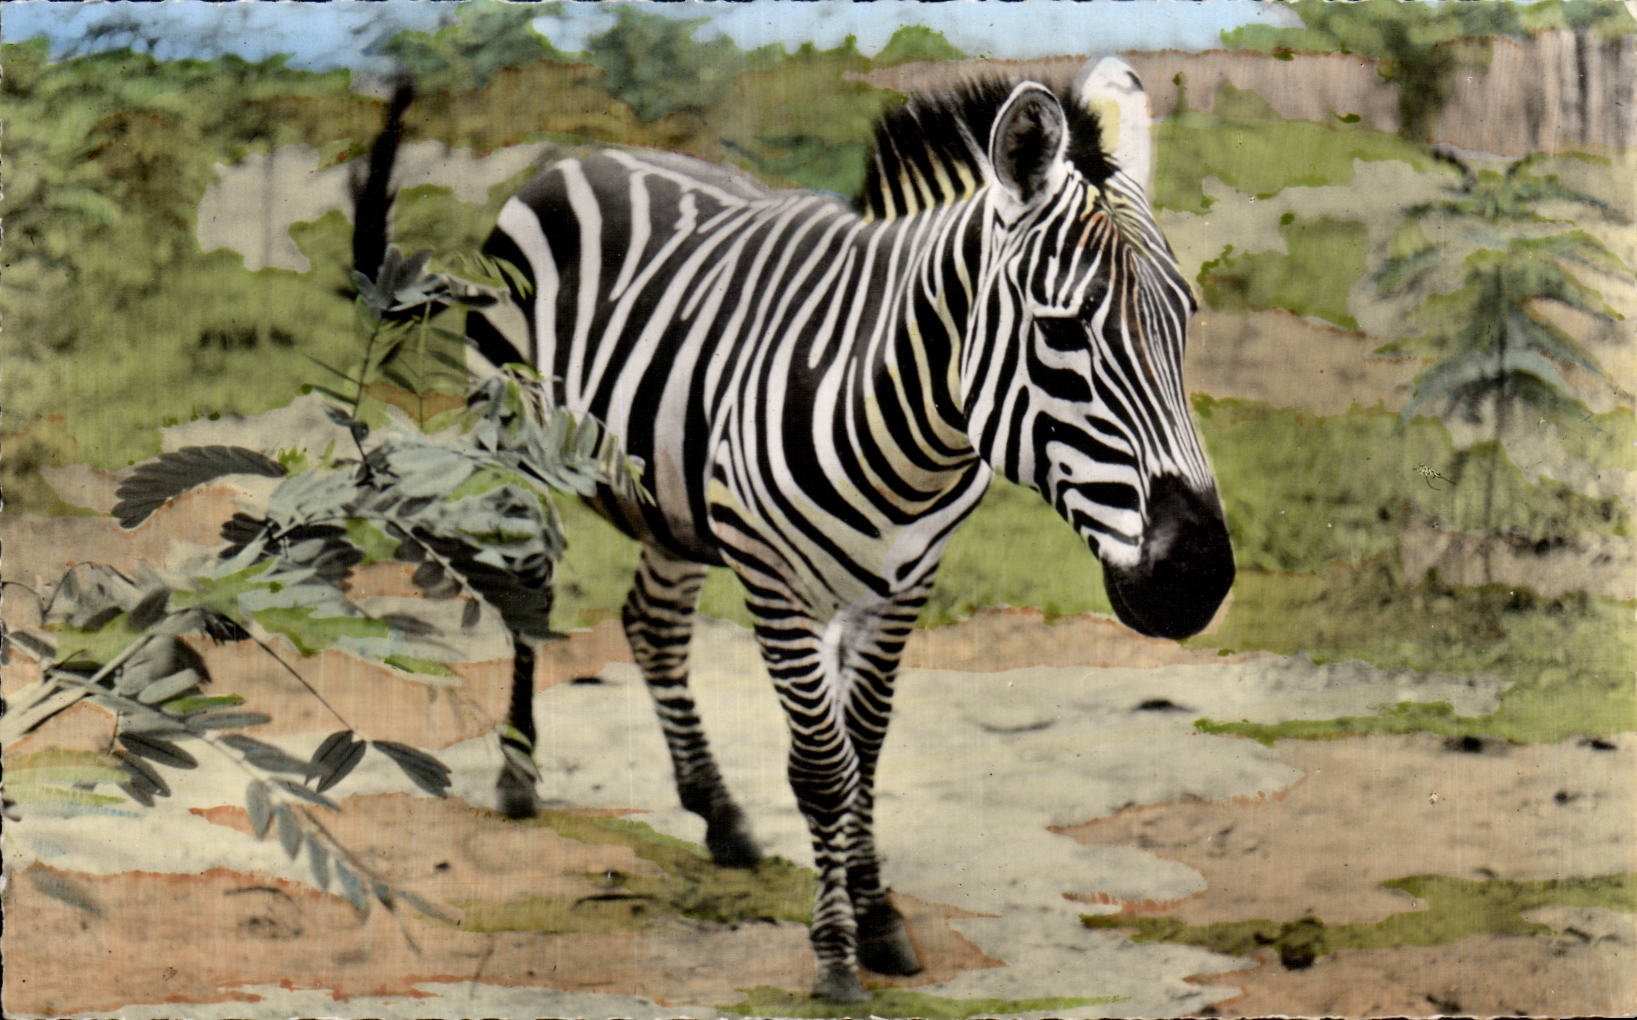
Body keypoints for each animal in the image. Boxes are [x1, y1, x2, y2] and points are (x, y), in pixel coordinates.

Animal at [362, 57, 1233, 1002]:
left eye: (1185, 318)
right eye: (1063, 329)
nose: (1196, 576)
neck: (910, 431)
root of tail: (576, 158)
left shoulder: (904, 579)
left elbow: (866, 751)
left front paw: (877, 910)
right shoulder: (773, 576)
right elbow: (822, 768)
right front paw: (837, 953)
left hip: (674, 494)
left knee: (653, 626)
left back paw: (720, 816)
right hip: (518, 447)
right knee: (529, 596)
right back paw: (519, 779)